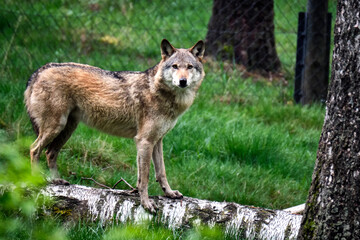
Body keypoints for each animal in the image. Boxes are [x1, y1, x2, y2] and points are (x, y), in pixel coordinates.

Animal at [24, 38, 205, 211]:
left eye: (189, 67)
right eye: (175, 66)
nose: (183, 81)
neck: (160, 92)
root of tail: (39, 71)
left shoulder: (157, 141)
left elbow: (161, 173)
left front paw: (169, 193)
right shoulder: (144, 141)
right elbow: (145, 178)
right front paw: (146, 204)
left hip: (67, 129)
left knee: (50, 153)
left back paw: (57, 181)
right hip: (55, 128)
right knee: (34, 149)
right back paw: (36, 181)